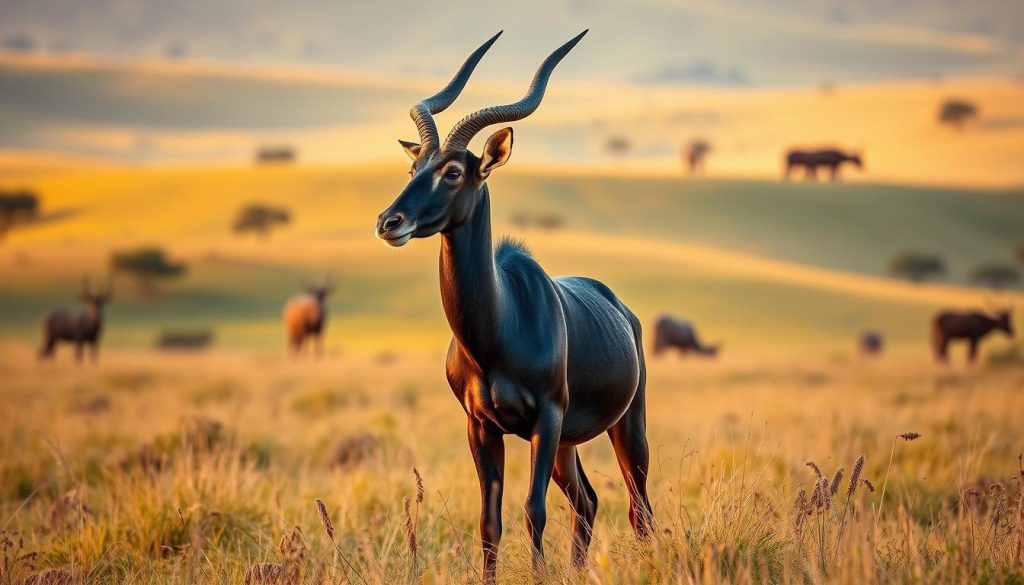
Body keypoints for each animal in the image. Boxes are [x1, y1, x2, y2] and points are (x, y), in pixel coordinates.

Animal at [374, 31, 653, 580]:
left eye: (454, 171)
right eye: (414, 166)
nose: (389, 221)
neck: (500, 328)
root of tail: (622, 312)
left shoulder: (545, 419)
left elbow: (532, 511)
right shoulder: (481, 426)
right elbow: (491, 522)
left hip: (625, 428)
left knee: (639, 509)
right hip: (568, 443)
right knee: (588, 502)